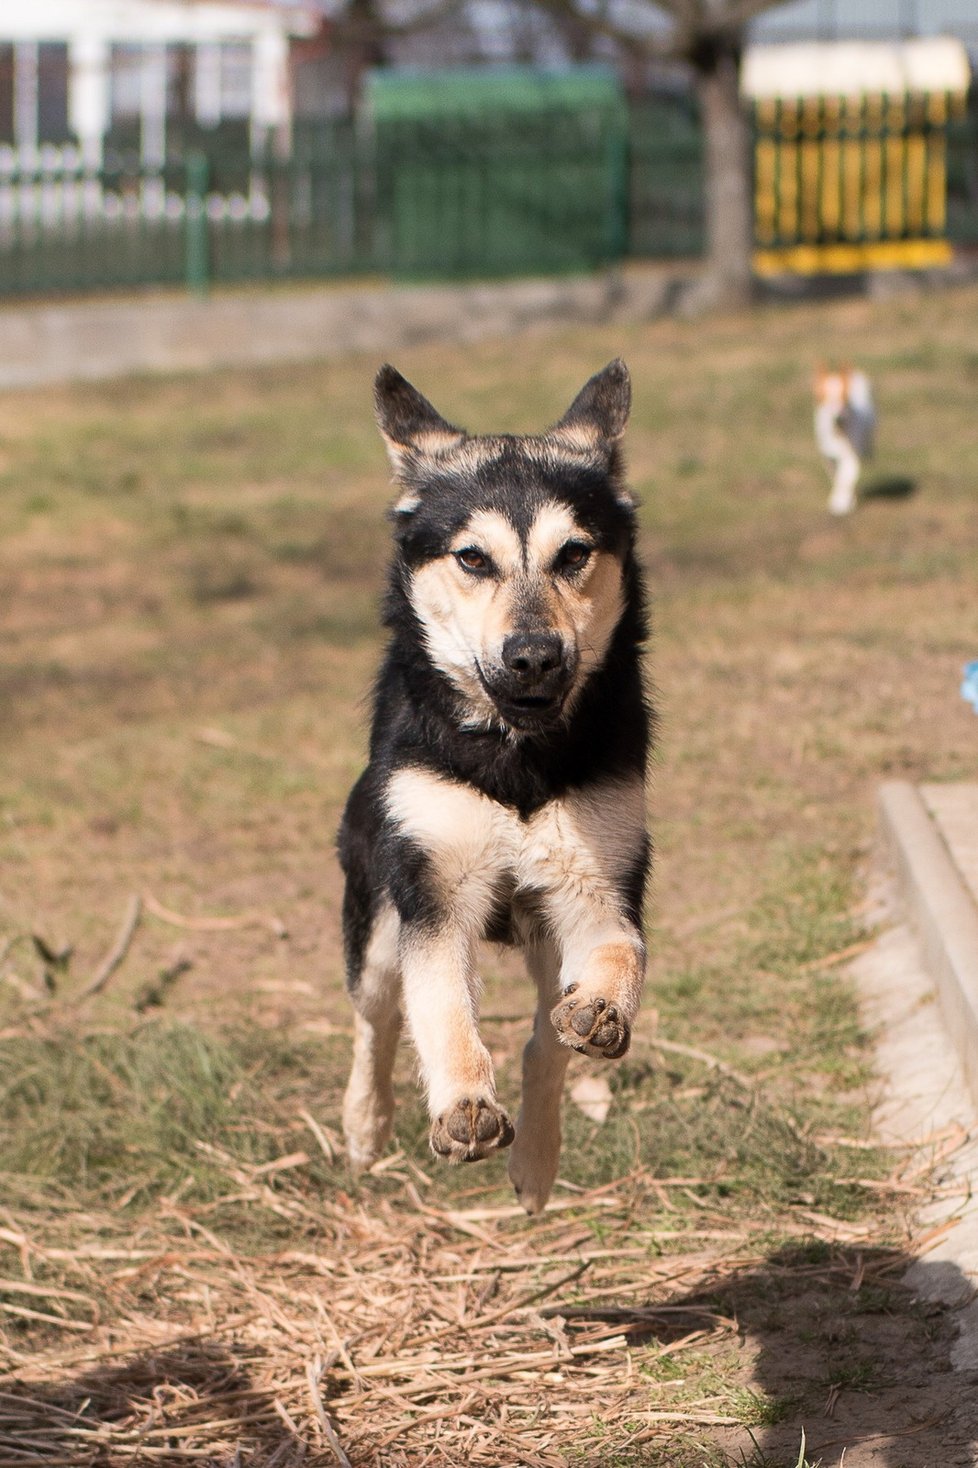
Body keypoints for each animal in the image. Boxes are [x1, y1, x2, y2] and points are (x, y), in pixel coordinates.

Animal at [334, 358, 646, 1215]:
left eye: (574, 554)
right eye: (473, 559)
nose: (534, 656)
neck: (517, 759)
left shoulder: (595, 879)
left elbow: (621, 953)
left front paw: (602, 1008)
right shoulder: (431, 889)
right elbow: (440, 1004)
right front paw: (464, 1105)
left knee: (545, 1042)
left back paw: (538, 1160)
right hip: (373, 912)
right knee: (377, 1016)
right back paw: (366, 1126)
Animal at [804, 367, 875, 516]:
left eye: (845, 397)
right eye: (824, 397)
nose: (838, 416)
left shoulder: (851, 455)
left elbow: (846, 477)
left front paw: (842, 503)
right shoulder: (828, 458)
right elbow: (837, 477)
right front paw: (840, 501)